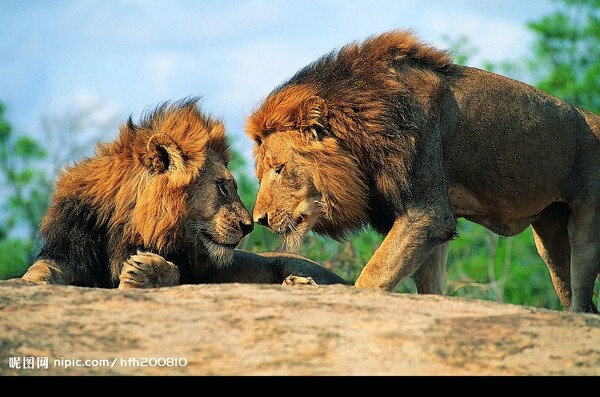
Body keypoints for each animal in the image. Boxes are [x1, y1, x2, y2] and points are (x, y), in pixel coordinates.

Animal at [19, 96, 346, 288]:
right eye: (222, 186)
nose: (249, 226)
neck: (124, 228)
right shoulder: (69, 250)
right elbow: (42, 269)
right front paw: (29, 282)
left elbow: (174, 272)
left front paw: (146, 274)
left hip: (296, 262)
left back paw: (298, 284)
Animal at [245, 29, 600, 310]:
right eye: (260, 174)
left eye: (279, 169)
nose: (259, 220)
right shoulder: (432, 222)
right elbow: (429, 286)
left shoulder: (427, 214)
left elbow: (373, 274)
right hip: (550, 239)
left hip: (587, 227)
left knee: (582, 299)